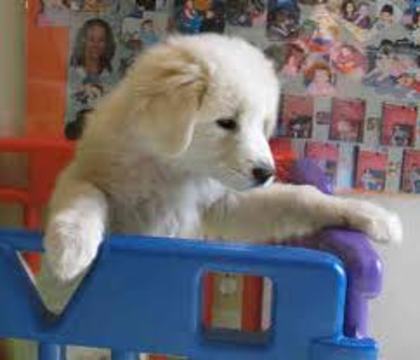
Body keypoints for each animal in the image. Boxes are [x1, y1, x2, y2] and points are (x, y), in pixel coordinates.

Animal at [41, 33, 400, 312]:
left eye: (262, 124)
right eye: (226, 122)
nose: (266, 172)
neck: (175, 171)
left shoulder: (223, 205)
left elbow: (301, 196)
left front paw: (375, 217)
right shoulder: (92, 175)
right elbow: (84, 195)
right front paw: (69, 253)